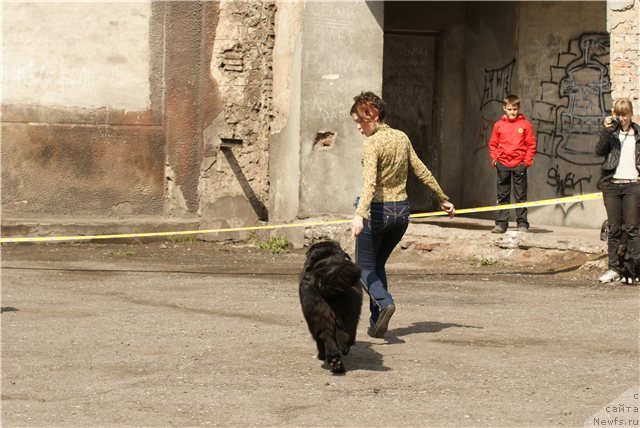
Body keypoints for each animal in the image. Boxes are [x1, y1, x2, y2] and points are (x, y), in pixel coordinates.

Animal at [298, 241, 362, 374]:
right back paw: (336, 359)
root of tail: (322, 279)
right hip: (346, 317)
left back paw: (333, 360)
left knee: (326, 337)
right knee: (340, 338)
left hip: (318, 317)